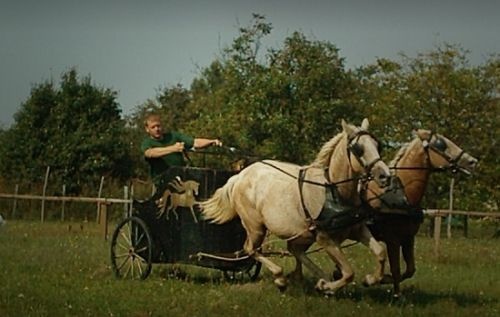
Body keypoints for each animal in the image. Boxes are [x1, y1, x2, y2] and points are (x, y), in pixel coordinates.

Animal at [201, 118, 392, 294]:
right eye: (358, 148)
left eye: (378, 145)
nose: (385, 176)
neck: (334, 192)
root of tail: (239, 177)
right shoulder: (324, 238)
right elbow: (348, 273)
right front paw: (328, 286)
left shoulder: (357, 229)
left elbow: (380, 252)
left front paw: (370, 279)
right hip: (256, 227)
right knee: (251, 249)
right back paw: (281, 278)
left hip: (300, 234)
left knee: (293, 250)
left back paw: (317, 279)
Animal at [364, 129, 476, 296]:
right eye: (441, 144)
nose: (472, 161)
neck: (402, 194)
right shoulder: (392, 239)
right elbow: (396, 269)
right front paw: (394, 293)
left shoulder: (408, 238)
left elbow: (410, 270)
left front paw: (383, 279)